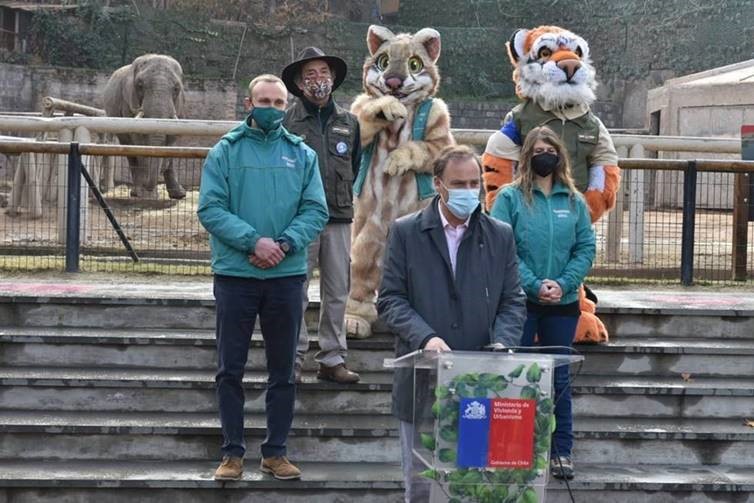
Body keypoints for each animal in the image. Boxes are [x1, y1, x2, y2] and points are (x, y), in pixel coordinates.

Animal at [103, 53, 187, 199]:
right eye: (140, 85)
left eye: (176, 89)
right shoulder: (128, 104)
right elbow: (138, 140)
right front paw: (149, 196)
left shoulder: (179, 107)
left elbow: (171, 140)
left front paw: (179, 195)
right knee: (130, 150)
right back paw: (137, 193)